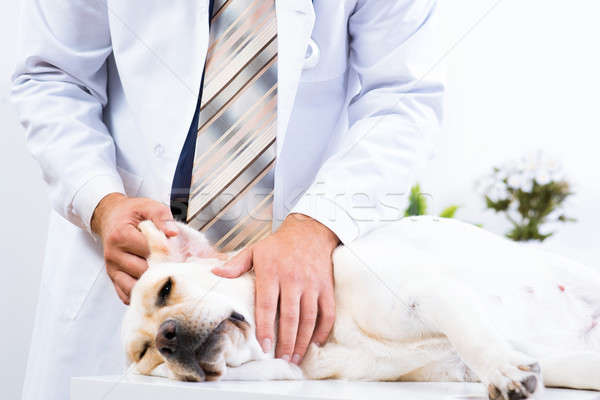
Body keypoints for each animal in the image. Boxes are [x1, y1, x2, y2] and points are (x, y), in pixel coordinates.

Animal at [122, 217, 600, 398]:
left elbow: (474, 336)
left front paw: (503, 371)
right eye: (146, 356)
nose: (167, 338)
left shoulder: (427, 292)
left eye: (166, 290)